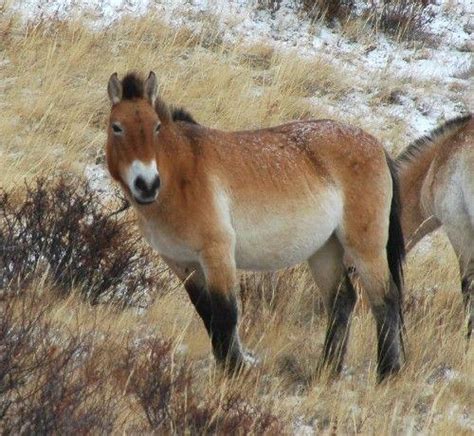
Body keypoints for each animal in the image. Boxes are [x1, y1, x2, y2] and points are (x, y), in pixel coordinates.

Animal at [105, 71, 406, 382]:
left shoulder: (217, 254)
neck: (181, 176)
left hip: (365, 248)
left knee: (385, 299)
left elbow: (226, 315)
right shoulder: (182, 264)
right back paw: (327, 371)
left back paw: (387, 373)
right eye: (116, 127)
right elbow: (208, 316)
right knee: (342, 301)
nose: (146, 184)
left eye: (156, 127)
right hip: (324, 250)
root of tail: (376, 145)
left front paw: (234, 372)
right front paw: (228, 368)